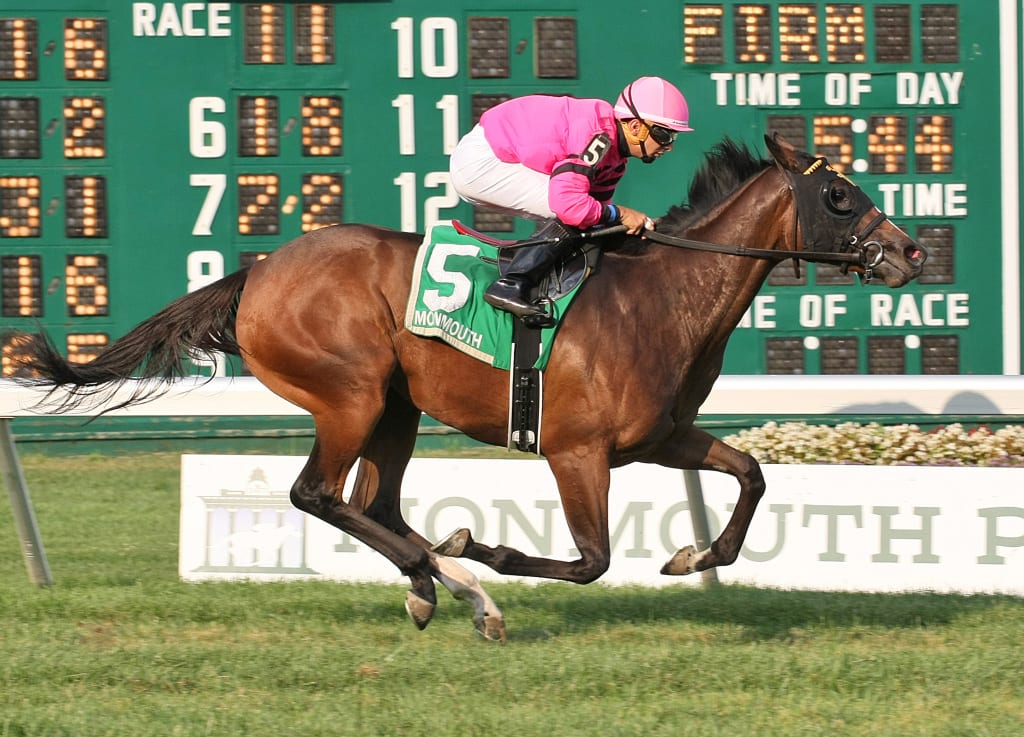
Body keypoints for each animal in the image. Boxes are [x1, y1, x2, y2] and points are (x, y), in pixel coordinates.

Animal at [4, 134, 925, 638]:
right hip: (350, 393)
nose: (913, 251)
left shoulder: (660, 437)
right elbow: (591, 560)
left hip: (396, 407)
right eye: (839, 195)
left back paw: (431, 584)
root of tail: (258, 269)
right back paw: (461, 582)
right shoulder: (574, 449)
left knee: (370, 502)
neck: (660, 295)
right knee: (317, 494)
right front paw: (486, 552)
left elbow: (752, 474)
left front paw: (696, 553)